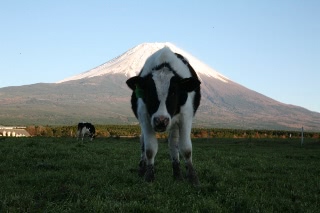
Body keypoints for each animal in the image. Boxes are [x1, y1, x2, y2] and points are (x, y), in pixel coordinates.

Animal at [126, 46, 201, 185]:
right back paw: (142, 168)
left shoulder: (186, 116)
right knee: (143, 142)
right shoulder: (145, 117)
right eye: (150, 92)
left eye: (174, 92)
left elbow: (186, 149)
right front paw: (149, 175)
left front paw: (193, 178)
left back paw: (177, 174)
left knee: (173, 143)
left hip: (175, 123)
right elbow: (150, 149)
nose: (161, 121)